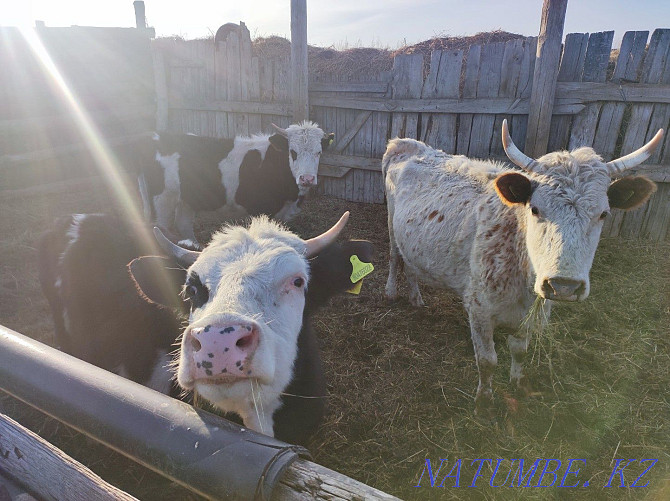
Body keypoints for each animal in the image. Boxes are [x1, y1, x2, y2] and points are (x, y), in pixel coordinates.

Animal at [138, 121, 336, 250]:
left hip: (185, 200)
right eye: (293, 152)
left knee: (183, 224)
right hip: (162, 201)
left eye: (319, 152)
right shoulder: (261, 209)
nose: (307, 179)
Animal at [386, 121, 664, 418]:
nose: (563, 285)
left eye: (603, 214)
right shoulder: (478, 309)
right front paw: (484, 403)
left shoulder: (533, 312)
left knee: (410, 266)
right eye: (535, 209)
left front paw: (519, 385)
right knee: (394, 257)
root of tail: (405, 143)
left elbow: (520, 351)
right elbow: (487, 360)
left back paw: (416, 298)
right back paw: (391, 291)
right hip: (391, 223)